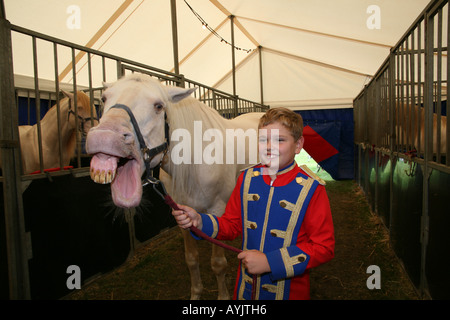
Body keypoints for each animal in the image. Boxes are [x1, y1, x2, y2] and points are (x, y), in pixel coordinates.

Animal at [86, 74, 264, 298]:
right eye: (104, 98)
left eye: (159, 106)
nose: (103, 137)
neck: (196, 162)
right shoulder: (182, 214)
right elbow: (191, 259)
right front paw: (196, 294)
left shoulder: (217, 210)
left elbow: (218, 263)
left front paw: (223, 295)